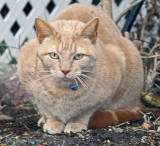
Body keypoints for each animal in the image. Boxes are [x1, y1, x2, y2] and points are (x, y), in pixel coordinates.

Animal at [17, 3, 144, 133]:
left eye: (78, 56)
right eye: (54, 55)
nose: (65, 70)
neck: (63, 93)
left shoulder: (103, 94)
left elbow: (85, 112)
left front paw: (76, 123)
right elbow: (47, 109)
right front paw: (53, 122)